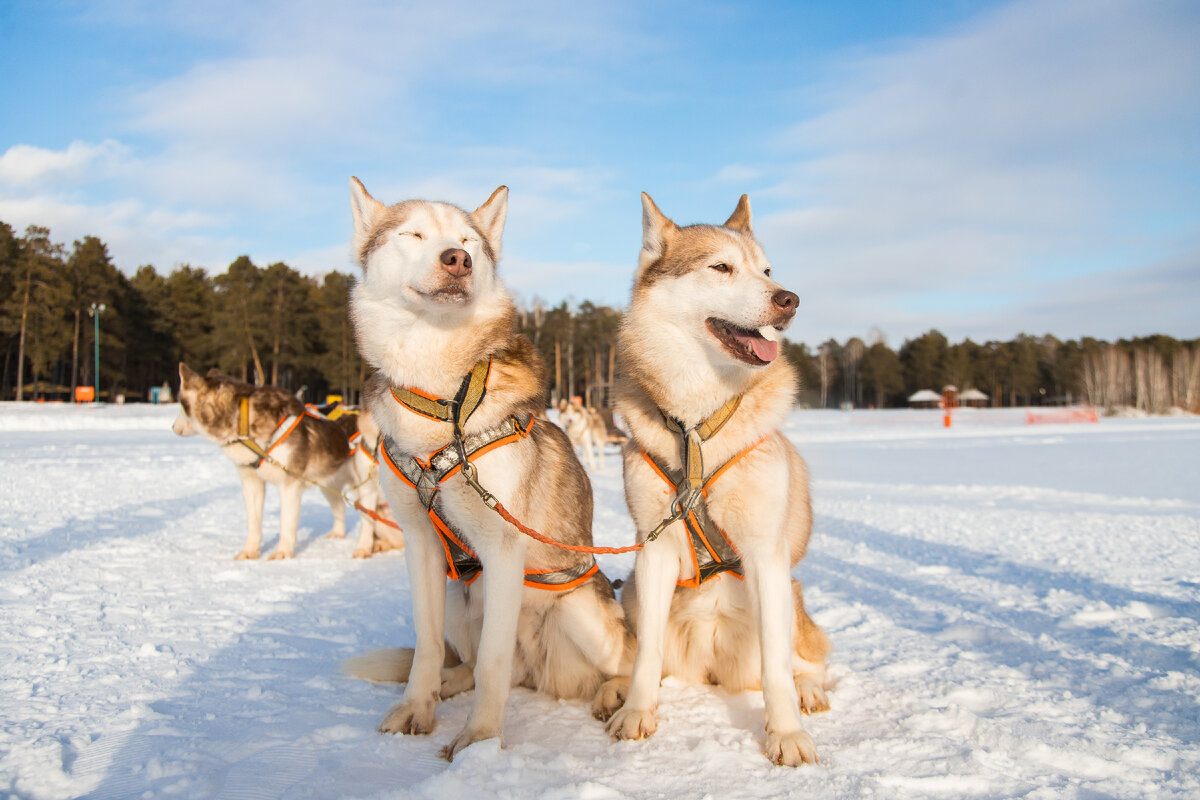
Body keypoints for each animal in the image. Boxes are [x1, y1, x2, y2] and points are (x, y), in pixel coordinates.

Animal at [169, 364, 364, 561]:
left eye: (181, 405)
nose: (172, 427)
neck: (244, 422)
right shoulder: (251, 483)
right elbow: (253, 523)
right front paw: (250, 552)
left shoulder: (290, 485)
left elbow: (286, 524)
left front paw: (282, 553)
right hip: (329, 485)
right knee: (340, 508)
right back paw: (338, 534)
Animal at [595, 194, 830, 767]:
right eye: (721, 268)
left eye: (766, 270)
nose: (789, 299)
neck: (697, 426)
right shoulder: (653, 550)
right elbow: (646, 652)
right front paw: (637, 711)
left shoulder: (765, 554)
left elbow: (775, 666)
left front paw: (785, 733)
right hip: (634, 592)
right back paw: (614, 689)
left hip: (791, 596)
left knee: (804, 659)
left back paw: (809, 689)